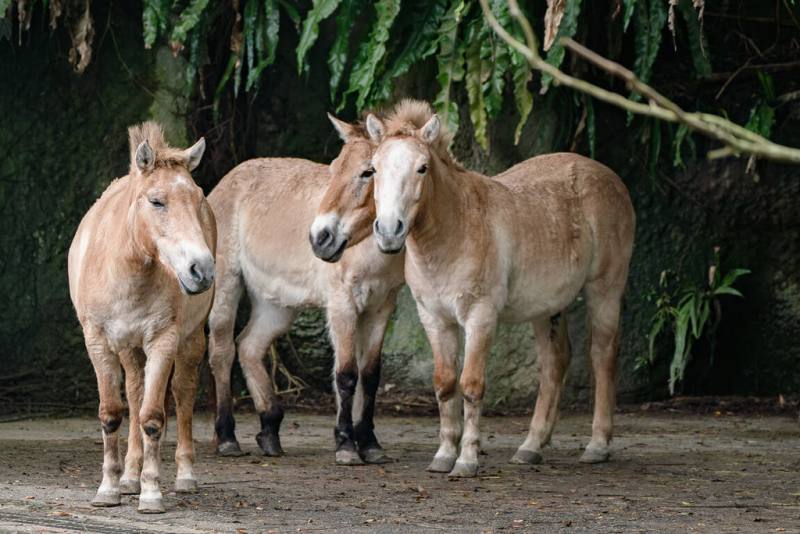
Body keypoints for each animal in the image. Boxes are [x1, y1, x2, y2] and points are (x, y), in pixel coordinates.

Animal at [68, 122, 216, 512]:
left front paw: (151, 493)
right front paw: (109, 488)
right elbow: (112, 412)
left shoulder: (163, 341)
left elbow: (152, 417)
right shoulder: (99, 343)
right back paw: (129, 477)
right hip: (129, 349)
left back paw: (184, 476)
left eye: (198, 199)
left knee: (181, 392)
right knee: (134, 393)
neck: (127, 269)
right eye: (156, 201)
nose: (202, 270)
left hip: (190, 340)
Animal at [208, 115, 404, 465]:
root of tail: (227, 180)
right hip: (227, 283)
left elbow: (369, 375)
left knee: (249, 346)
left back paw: (270, 430)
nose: (321, 238)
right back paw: (227, 437)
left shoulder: (381, 306)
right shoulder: (342, 305)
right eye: (334, 168)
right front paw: (346, 445)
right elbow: (346, 374)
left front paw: (369, 444)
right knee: (222, 349)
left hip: (276, 305)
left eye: (368, 171)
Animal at [314, 99, 636, 478]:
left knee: (603, 354)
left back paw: (597, 445)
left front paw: (466, 460)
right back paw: (531, 447)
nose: (390, 231)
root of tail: (608, 176)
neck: (454, 232)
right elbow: (445, 384)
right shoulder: (435, 319)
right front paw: (443, 456)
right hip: (547, 307)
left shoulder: (480, 318)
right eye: (375, 169)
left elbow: (471, 385)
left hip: (605, 289)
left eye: (422, 167)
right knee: (555, 362)